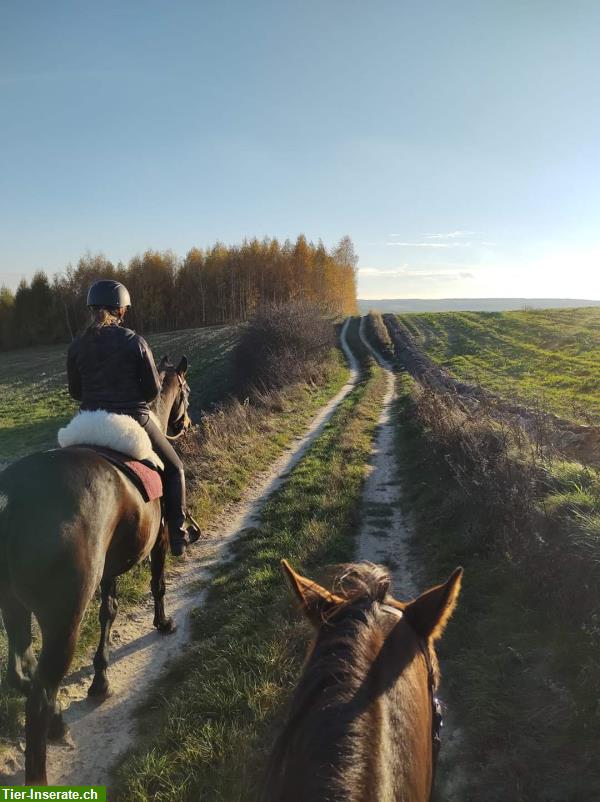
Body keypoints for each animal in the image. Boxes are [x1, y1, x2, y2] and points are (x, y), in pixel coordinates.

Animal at [0, 354, 190, 780]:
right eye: (186, 391)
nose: (184, 424)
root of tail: (12, 497)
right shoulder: (160, 540)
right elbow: (157, 584)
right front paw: (163, 623)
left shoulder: (109, 568)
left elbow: (109, 611)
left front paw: (100, 680)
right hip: (63, 615)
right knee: (39, 691)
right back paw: (41, 764)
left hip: (14, 606)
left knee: (21, 672)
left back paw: (57, 724)